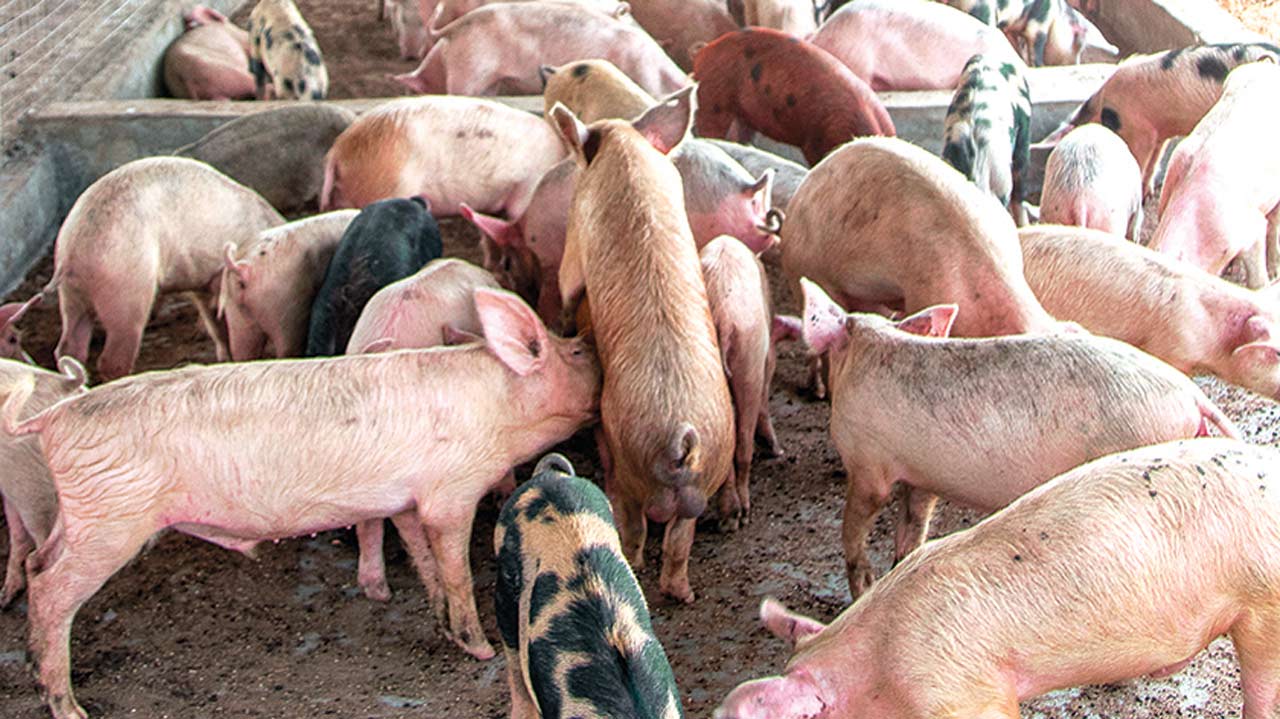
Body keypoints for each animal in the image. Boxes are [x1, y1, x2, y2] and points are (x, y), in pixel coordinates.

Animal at [43, 157, 284, 381]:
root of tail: (73, 250)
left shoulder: (202, 282)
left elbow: (215, 321)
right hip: (125, 286)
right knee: (112, 356)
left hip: (72, 294)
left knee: (69, 347)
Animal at [550, 92, 735, 604]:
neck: (625, 151)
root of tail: (682, 434)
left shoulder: (575, 235)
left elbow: (567, 284)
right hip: (709, 467)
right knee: (679, 542)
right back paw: (684, 592)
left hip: (629, 461)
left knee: (633, 525)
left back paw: (636, 563)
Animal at [700, 237, 781, 532]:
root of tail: (722, 318)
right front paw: (776, 450)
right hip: (749, 357)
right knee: (743, 440)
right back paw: (741, 515)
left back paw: (728, 518)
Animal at [801, 278, 1239, 598]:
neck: (864, 350)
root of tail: (1193, 396)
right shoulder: (920, 475)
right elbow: (913, 528)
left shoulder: (868, 462)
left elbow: (854, 532)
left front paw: (859, 593)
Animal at [1052, 42, 1280, 198]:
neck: (1105, 110)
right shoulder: (1157, 133)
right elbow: (1154, 161)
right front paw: (1148, 193)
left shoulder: (1138, 131)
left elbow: (1140, 162)